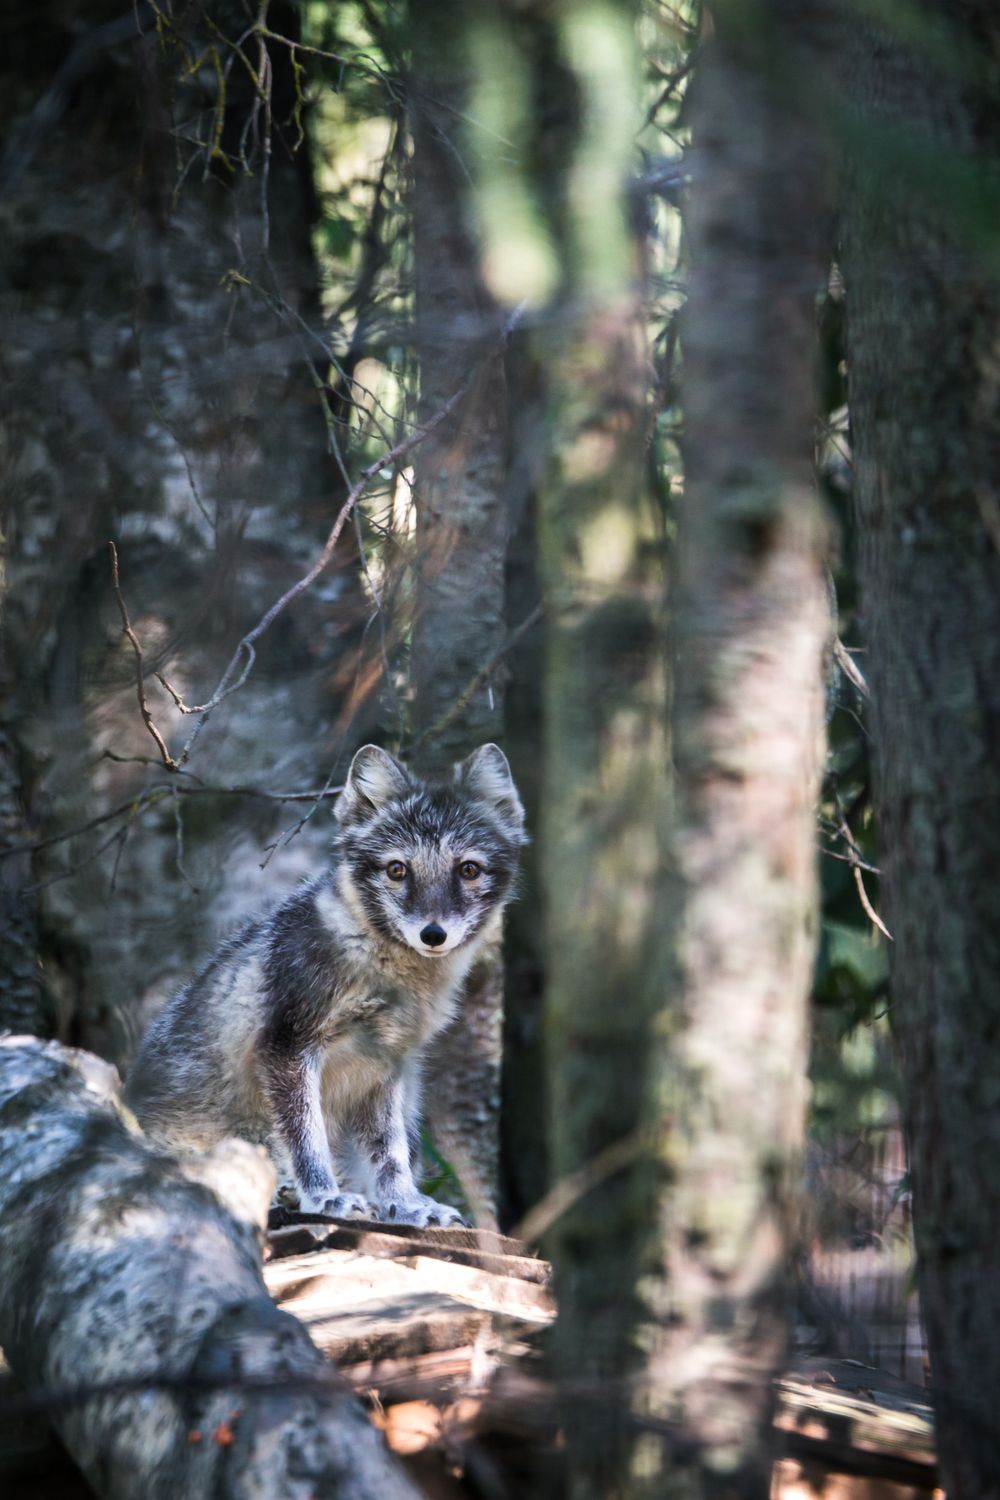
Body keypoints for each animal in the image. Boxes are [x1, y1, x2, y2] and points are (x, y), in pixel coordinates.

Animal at [125, 743, 525, 1227]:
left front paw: (405, 1204)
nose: (433, 934)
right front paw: (323, 1197)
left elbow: (391, 1152)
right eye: (397, 870)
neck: (381, 971)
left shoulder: (385, 1065)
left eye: (468, 870)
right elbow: (307, 1140)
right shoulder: (287, 1046)